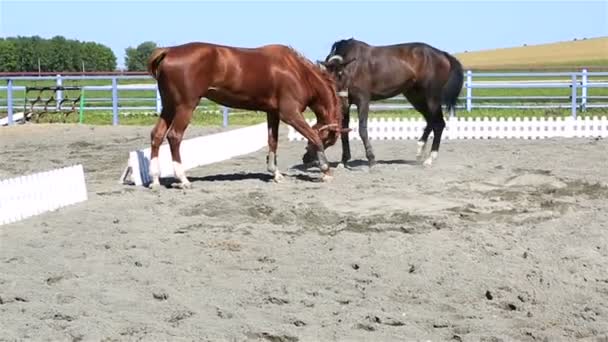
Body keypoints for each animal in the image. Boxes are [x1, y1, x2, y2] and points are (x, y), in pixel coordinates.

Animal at [146, 42, 346, 190]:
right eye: (328, 140)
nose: (306, 159)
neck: (297, 72)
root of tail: (169, 51)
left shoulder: (273, 113)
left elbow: (273, 141)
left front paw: (275, 173)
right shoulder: (290, 114)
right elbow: (312, 136)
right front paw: (326, 171)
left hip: (169, 107)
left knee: (157, 135)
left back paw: (155, 179)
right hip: (185, 107)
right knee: (174, 136)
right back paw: (183, 179)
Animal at [316, 37, 464, 168]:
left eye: (342, 75)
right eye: (327, 78)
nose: (341, 102)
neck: (354, 66)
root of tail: (443, 54)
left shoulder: (363, 100)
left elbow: (362, 129)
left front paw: (372, 160)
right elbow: (344, 131)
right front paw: (343, 161)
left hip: (432, 97)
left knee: (438, 123)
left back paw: (429, 158)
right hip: (416, 97)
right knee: (431, 121)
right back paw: (420, 151)